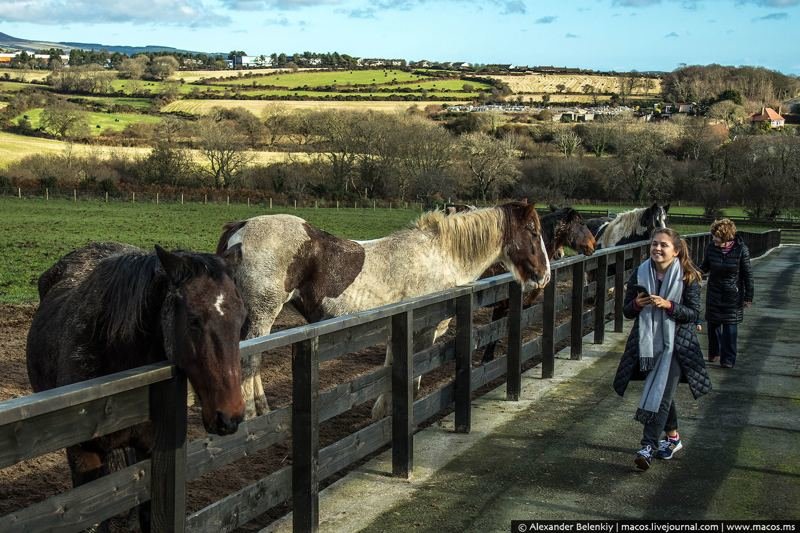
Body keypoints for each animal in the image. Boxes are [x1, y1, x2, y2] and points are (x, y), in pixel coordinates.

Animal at [219, 202, 556, 418]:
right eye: (532, 230)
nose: (544, 275)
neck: (442, 256)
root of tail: (241, 227)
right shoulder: (423, 328)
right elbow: (414, 373)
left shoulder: (400, 326)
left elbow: (393, 367)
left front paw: (382, 411)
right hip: (262, 315)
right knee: (250, 362)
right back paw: (254, 416)